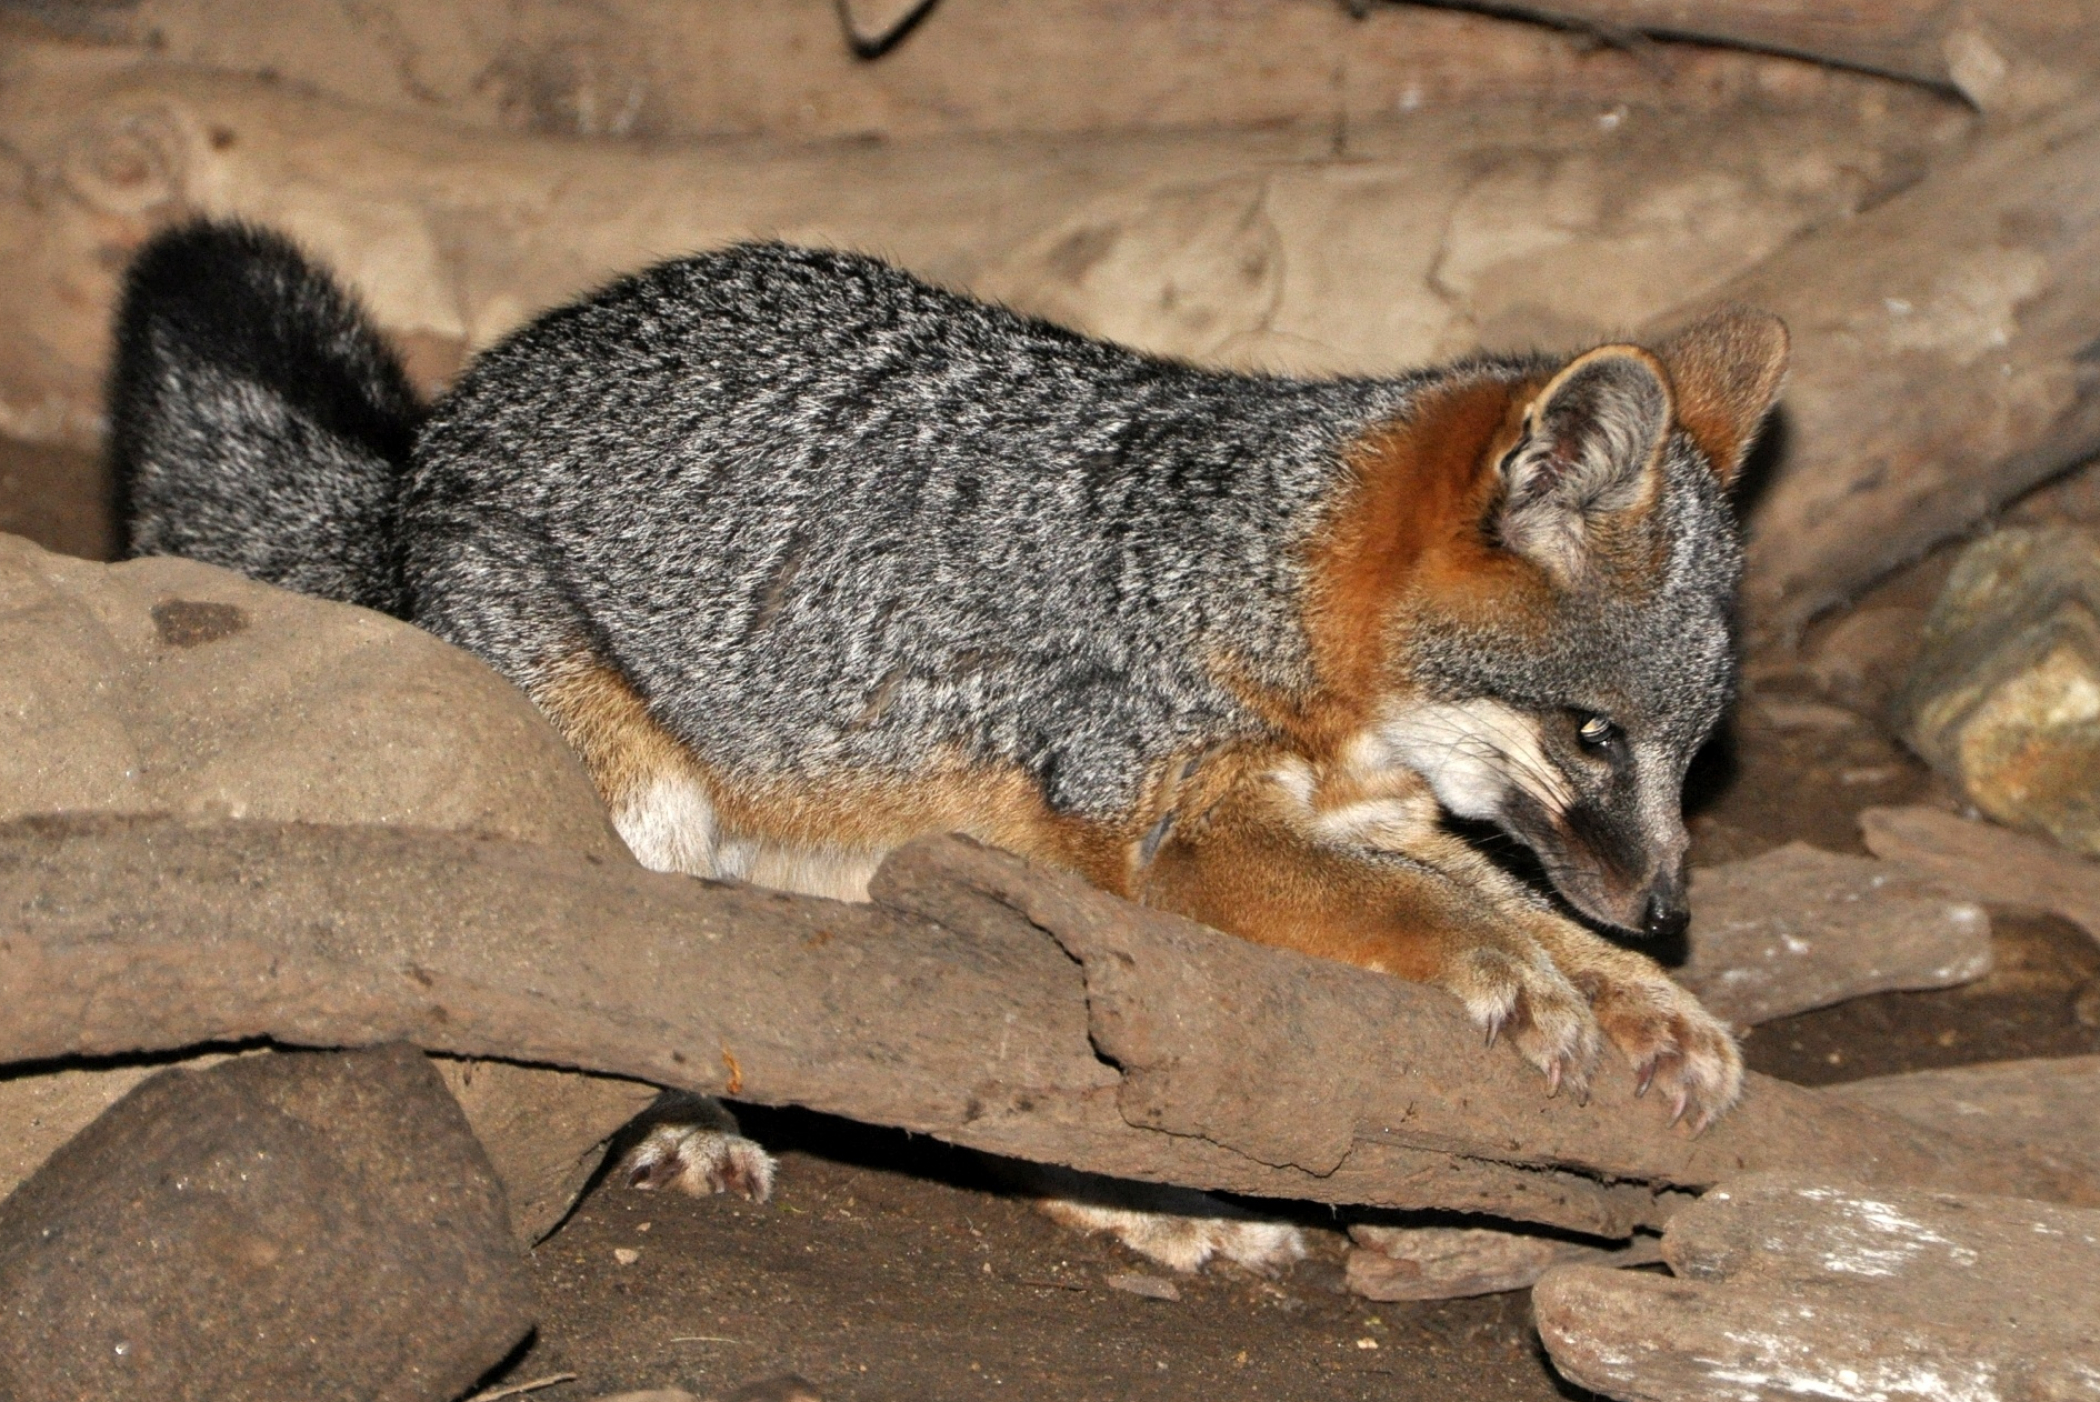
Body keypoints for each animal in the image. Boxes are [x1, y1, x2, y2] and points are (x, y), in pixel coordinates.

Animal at [114, 219, 1780, 1217]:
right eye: (1595, 735)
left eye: (1689, 752)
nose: (1670, 906)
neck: (1258, 568)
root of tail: (420, 455)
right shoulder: (1169, 831)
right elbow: (1423, 909)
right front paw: (1522, 976)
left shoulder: (1349, 814)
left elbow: (1492, 888)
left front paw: (1643, 999)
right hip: (647, 812)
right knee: (644, 984)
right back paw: (687, 1122)